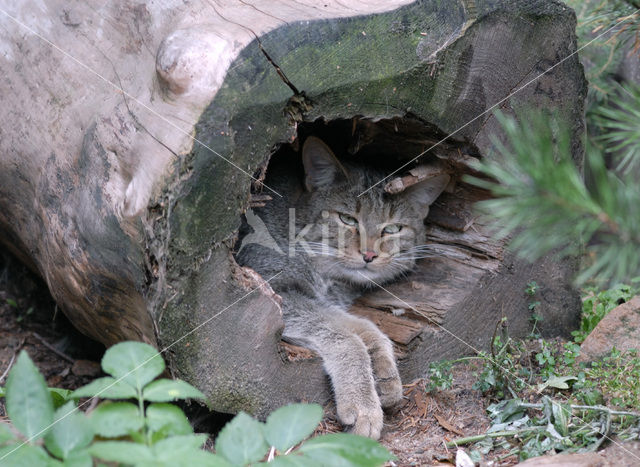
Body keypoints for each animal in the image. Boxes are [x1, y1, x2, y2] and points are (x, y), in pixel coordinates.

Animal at [236, 135, 450, 438]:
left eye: (393, 229)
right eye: (347, 219)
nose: (369, 255)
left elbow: (363, 326)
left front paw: (383, 368)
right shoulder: (276, 291)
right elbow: (345, 337)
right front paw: (363, 404)